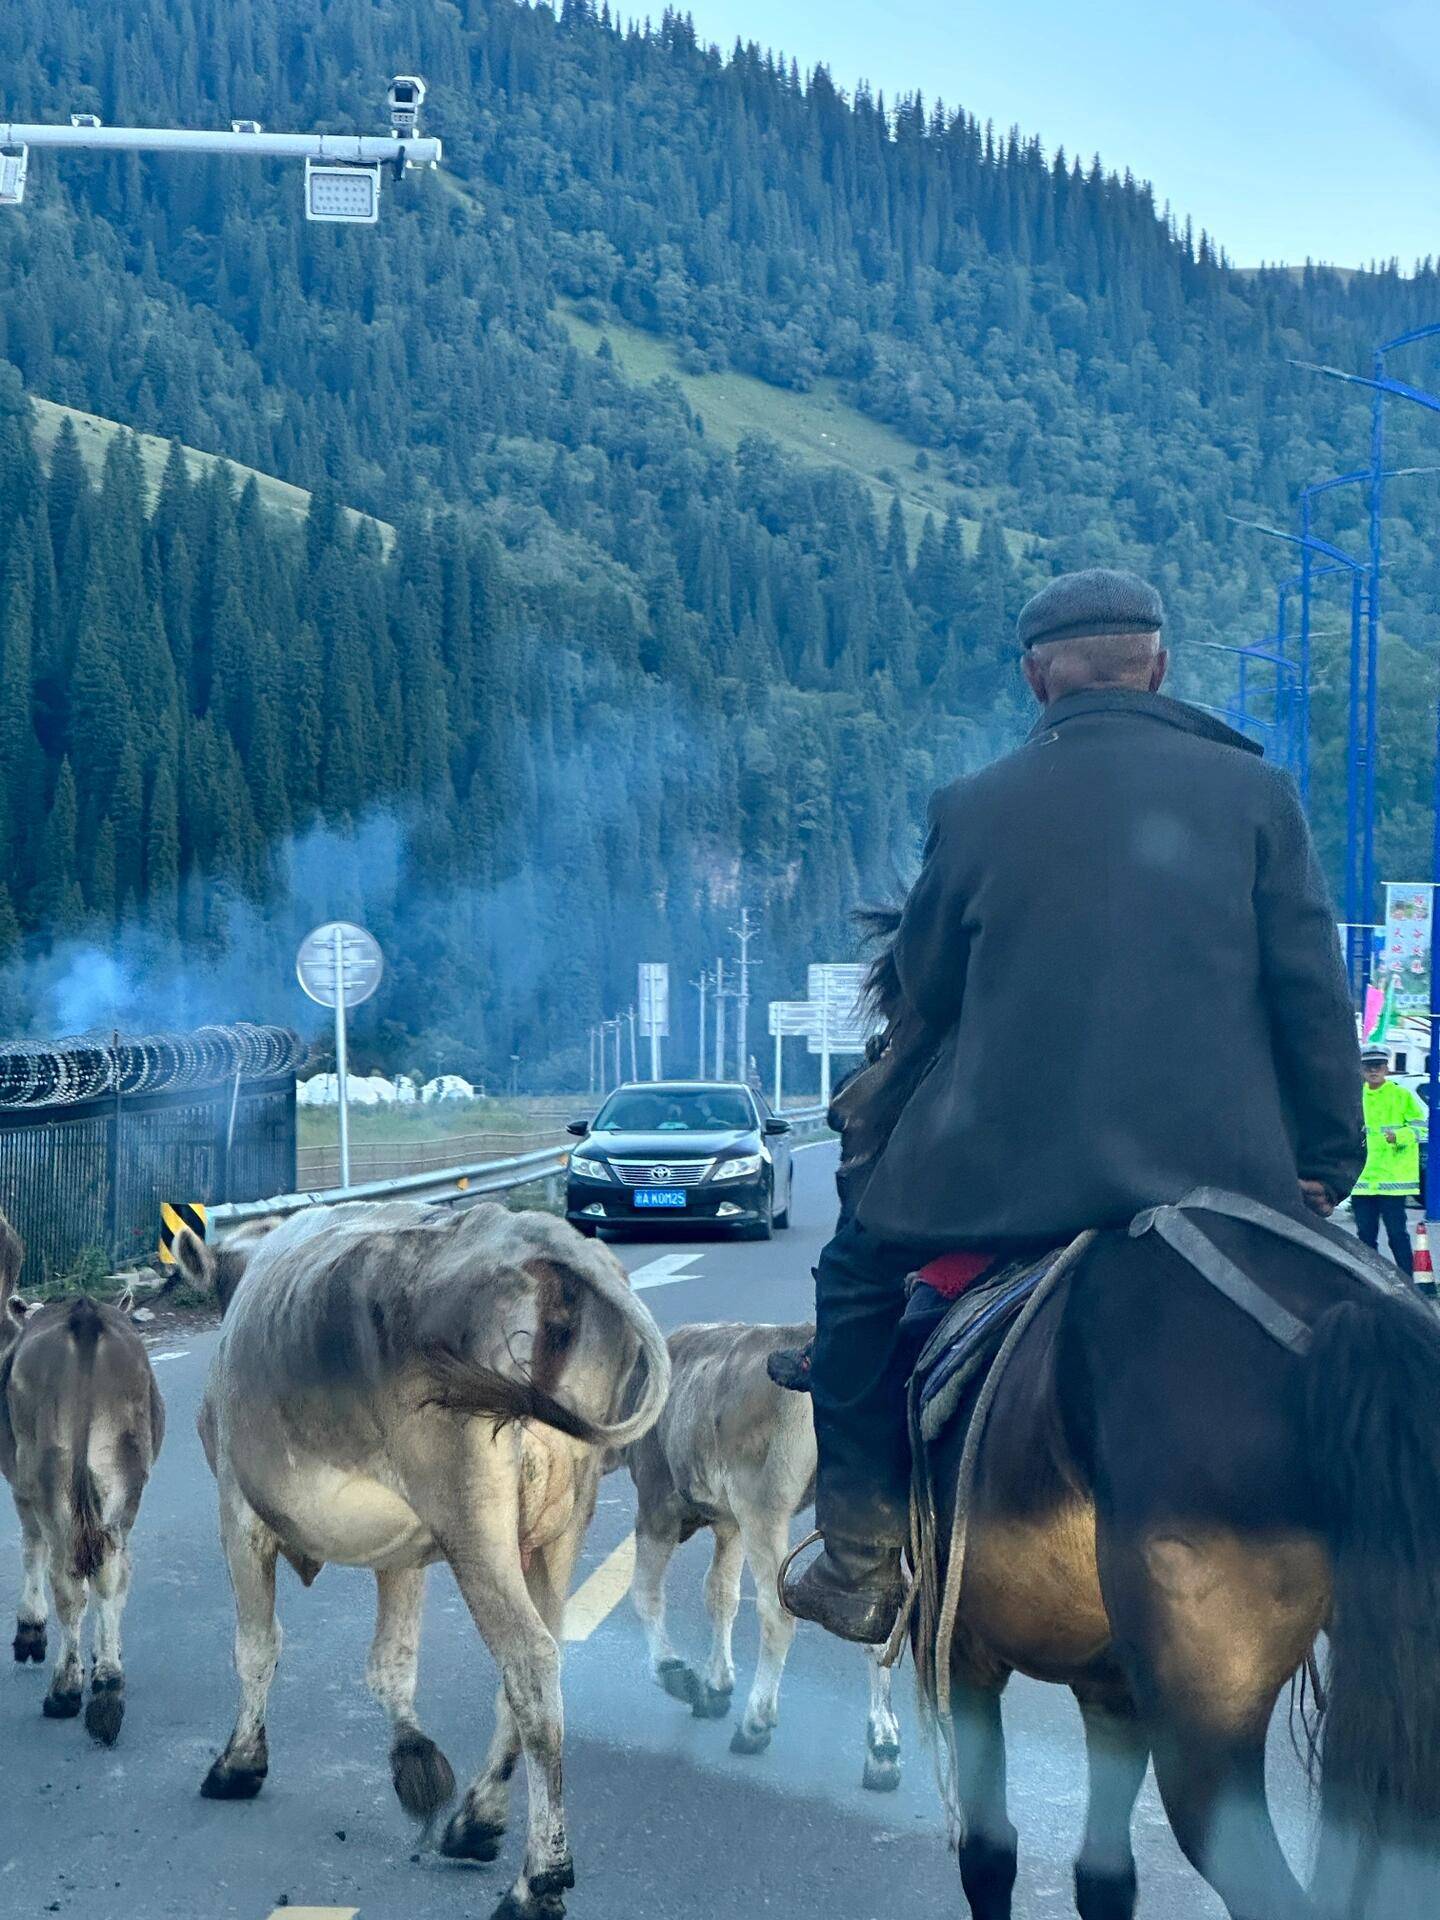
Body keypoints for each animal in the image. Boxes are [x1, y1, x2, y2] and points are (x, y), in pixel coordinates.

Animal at [0, 1212, 165, 1745]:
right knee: (111, 1567)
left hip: (49, 1474)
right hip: (122, 1473)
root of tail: (86, 1315)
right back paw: (108, 1683)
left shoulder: (20, 1484)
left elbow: (30, 1548)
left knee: (68, 1576)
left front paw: (29, 1632)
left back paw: (66, 1690)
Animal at [177, 1199, 670, 1920]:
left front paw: (239, 1763)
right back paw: (477, 1819)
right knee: (536, 1663)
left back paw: (538, 1879)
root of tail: (540, 1238)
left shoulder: (237, 1515)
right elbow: (391, 1663)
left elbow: (257, 1647)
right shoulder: (400, 1554)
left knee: (529, 1662)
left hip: (472, 1519)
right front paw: (415, 1762)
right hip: (557, 1523)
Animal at [626, 1319, 901, 1791]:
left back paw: (755, 1723)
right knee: (876, 1620)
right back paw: (883, 1751)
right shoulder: (729, 1522)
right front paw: (716, 1685)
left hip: (764, 1507)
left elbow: (646, 1592)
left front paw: (681, 1676)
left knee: (778, 1611)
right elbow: (720, 1594)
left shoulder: (658, 1499)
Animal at [841, 910, 1440, 1920]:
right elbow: (1102, 1877)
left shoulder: (962, 1648)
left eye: (893, 1026)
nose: (843, 1121)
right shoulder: (1109, 1686)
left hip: (1205, 1712)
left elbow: (990, 1855)